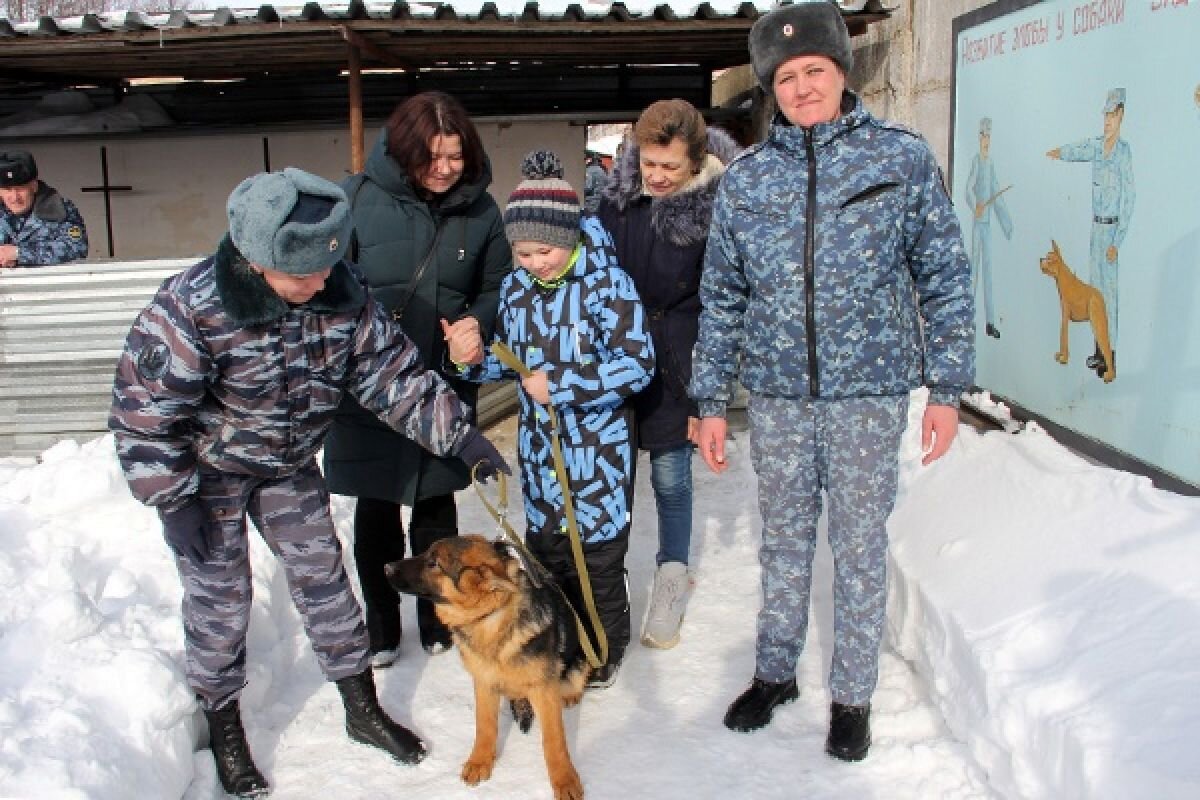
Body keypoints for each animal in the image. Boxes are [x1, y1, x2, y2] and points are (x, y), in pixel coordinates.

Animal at [386, 534, 588, 796]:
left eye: (433, 563)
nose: (386, 567)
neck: (490, 617)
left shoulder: (543, 690)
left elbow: (554, 741)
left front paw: (565, 780)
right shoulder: (483, 682)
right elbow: (484, 725)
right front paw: (479, 761)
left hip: (576, 666)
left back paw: (569, 696)